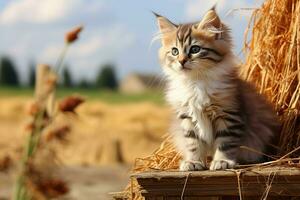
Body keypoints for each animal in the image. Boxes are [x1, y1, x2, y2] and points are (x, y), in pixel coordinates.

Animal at [156, 7, 280, 170]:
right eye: (175, 51)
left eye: (195, 49)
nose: (182, 61)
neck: (195, 82)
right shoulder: (188, 117)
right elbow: (193, 144)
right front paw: (193, 162)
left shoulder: (228, 114)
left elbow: (225, 142)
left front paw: (222, 161)